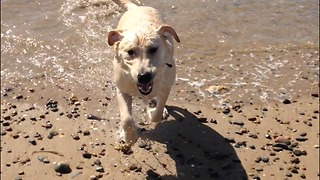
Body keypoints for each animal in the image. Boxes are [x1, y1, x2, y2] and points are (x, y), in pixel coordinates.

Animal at [107, 0, 180, 145]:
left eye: (153, 49)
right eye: (130, 52)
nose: (144, 77)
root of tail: (137, 7)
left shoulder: (165, 88)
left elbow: (157, 113)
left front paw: (153, 112)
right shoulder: (122, 91)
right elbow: (126, 118)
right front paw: (129, 136)